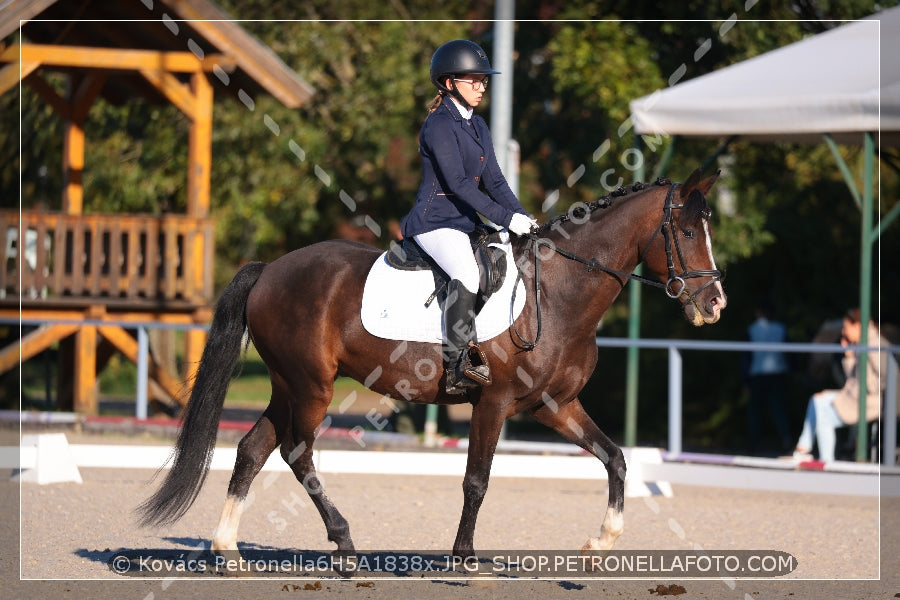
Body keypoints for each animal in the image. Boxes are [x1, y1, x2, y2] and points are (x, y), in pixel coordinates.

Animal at [141, 169, 728, 564]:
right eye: (685, 232)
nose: (715, 303)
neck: (559, 294)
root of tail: (269, 271)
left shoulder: (553, 405)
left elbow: (616, 459)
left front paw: (600, 542)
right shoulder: (493, 402)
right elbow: (476, 481)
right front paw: (465, 556)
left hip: (288, 385)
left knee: (253, 449)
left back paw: (228, 549)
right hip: (312, 386)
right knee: (296, 453)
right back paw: (344, 543)